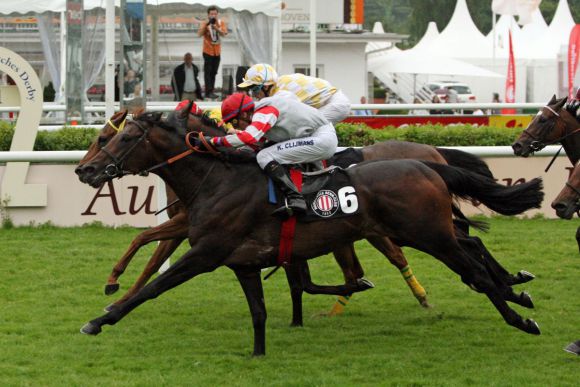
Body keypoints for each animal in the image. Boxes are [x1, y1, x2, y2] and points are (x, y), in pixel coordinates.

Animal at [77, 113, 544, 356]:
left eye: (123, 137)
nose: (88, 170)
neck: (218, 179)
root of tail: (427, 163)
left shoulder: (206, 253)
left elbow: (155, 285)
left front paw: (101, 317)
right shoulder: (243, 261)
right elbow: (262, 308)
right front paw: (259, 352)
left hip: (430, 235)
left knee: (475, 272)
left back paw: (520, 314)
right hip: (421, 232)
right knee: (473, 254)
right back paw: (517, 292)